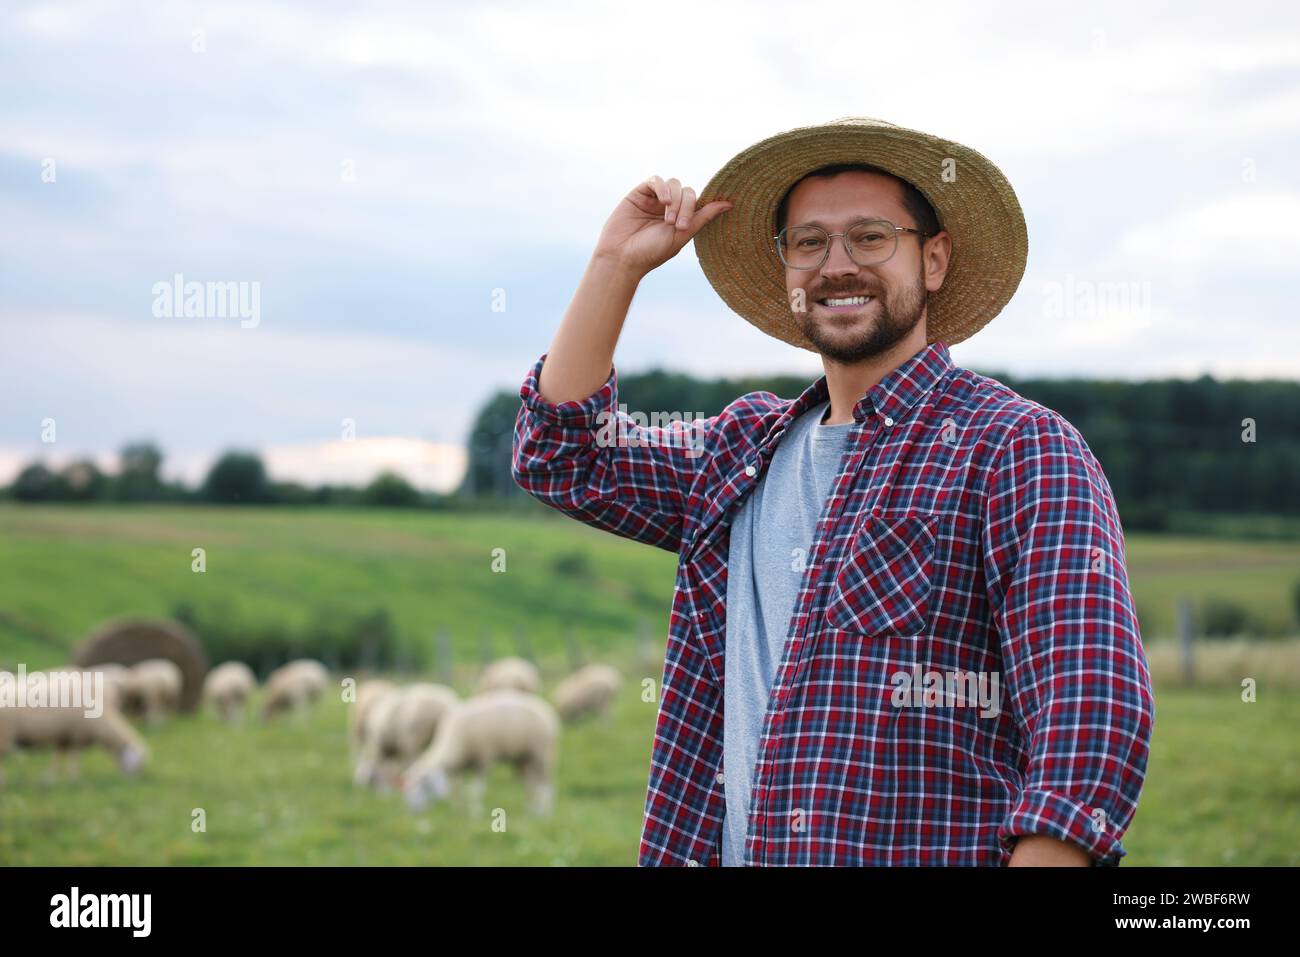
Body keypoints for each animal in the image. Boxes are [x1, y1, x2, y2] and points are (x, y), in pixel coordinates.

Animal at [0, 696, 148, 790]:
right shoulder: (78, 736)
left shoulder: (64, 737)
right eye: (137, 763)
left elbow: (58, 757)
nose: (134, 782)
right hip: (5, 735)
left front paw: (49, 778)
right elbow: (75, 758)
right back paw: (4, 781)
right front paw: (74, 779)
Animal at [397, 686, 556, 816]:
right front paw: (458, 810)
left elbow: (476, 790)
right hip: (524, 757)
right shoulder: (460, 765)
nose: (412, 811)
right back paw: (532, 810)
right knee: (530, 782)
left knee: (546, 783)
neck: (453, 741)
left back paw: (545, 812)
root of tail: (547, 711)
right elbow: (458, 788)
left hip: (542, 754)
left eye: (422, 786)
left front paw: (476, 813)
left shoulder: (483, 758)